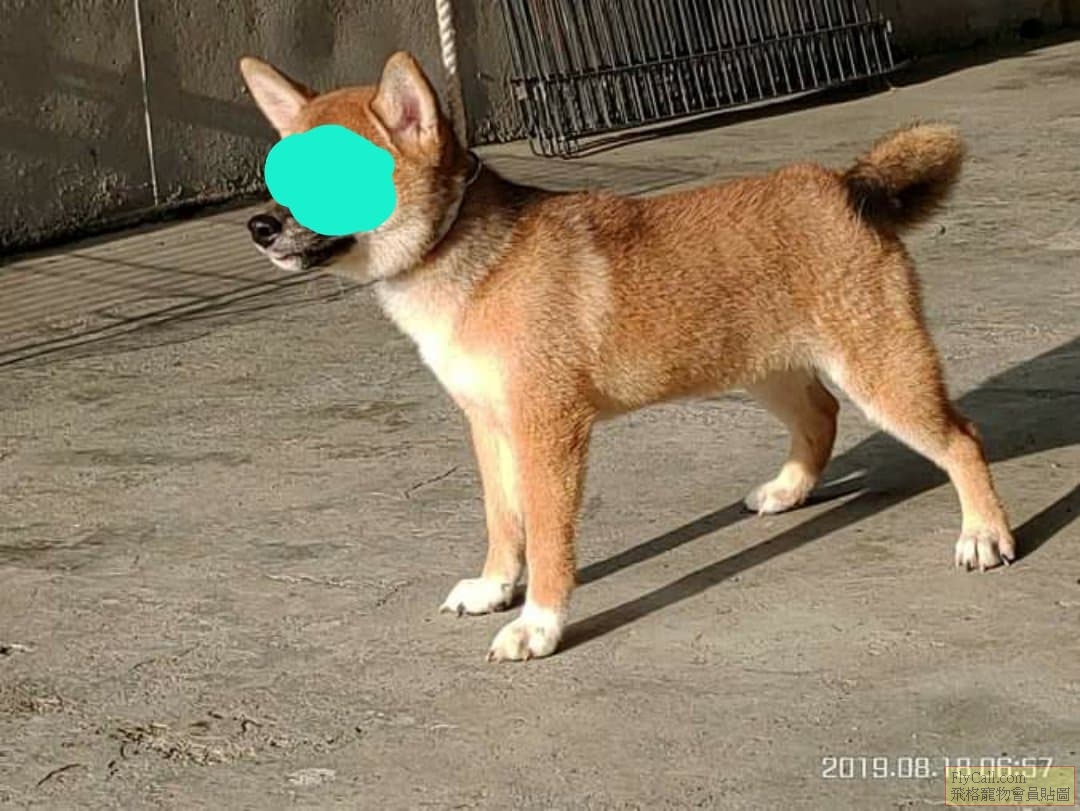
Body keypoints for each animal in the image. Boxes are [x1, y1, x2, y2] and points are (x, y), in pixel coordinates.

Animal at [239, 51, 1014, 661]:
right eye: (278, 172)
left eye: (331, 175)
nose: (259, 226)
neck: (466, 260)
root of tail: (847, 184)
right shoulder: (491, 427)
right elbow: (503, 522)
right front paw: (494, 586)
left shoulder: (550, 433)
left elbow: (549, 540)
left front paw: (539, 624)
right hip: (762, 367)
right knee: (820, 418)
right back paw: (789, 489)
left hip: (880, 373)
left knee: (960, 439)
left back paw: (984, 533)